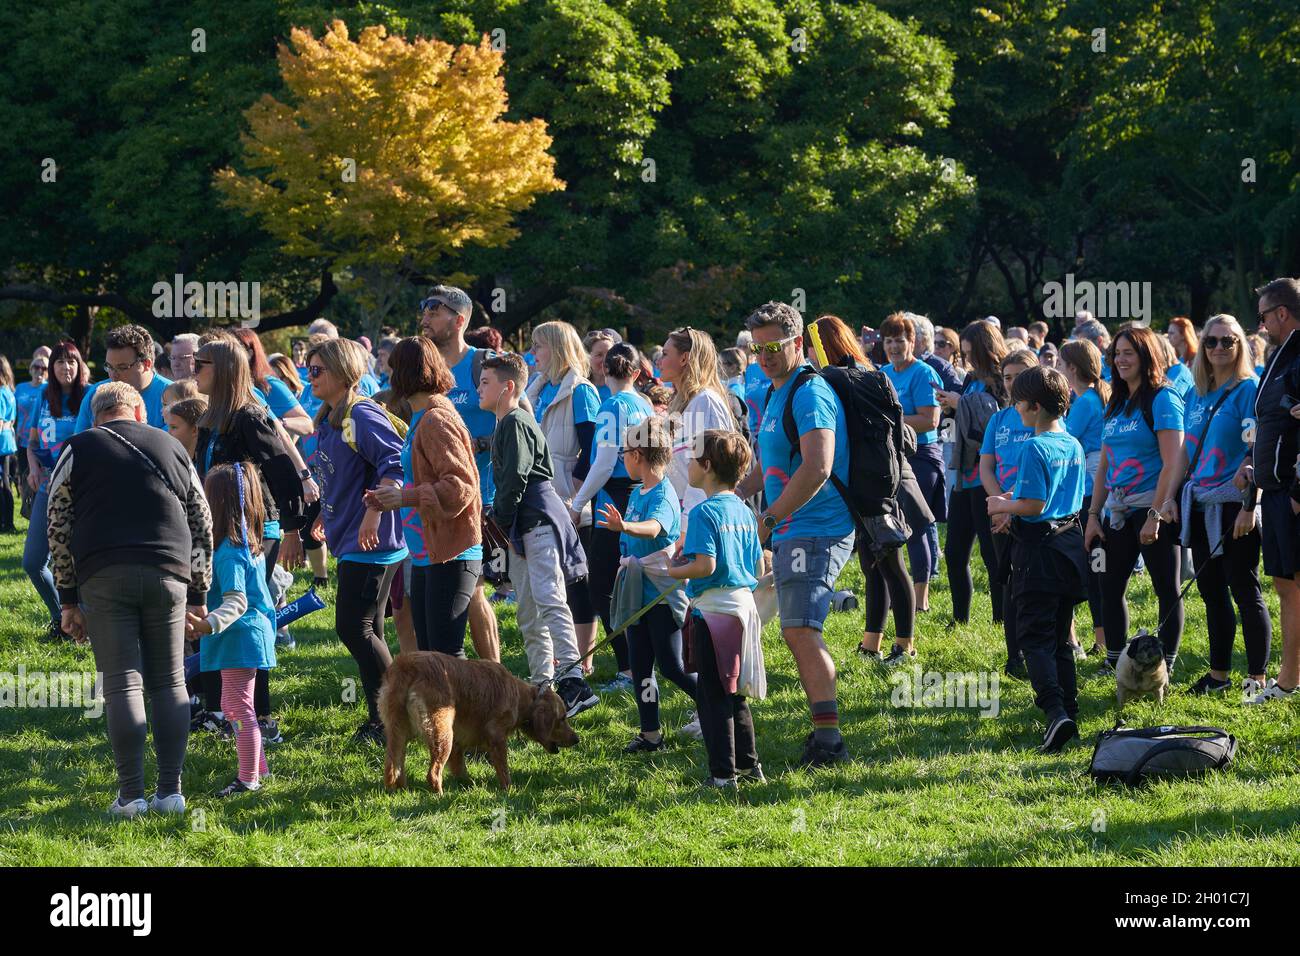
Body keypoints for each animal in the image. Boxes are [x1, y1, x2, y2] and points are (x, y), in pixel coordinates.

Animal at [379, 650, 577, 790]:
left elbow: (460, 769)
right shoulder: (496, 736)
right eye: (562, 718)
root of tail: (408, 665)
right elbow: (503, 769)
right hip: (442, 733)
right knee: (433, 774)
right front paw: (509, 790)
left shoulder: (458, 745)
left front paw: (467, 785)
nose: (577, 739)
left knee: (392, 768)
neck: (521, 696)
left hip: (397, 731)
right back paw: (440, 797)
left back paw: (400, 790)